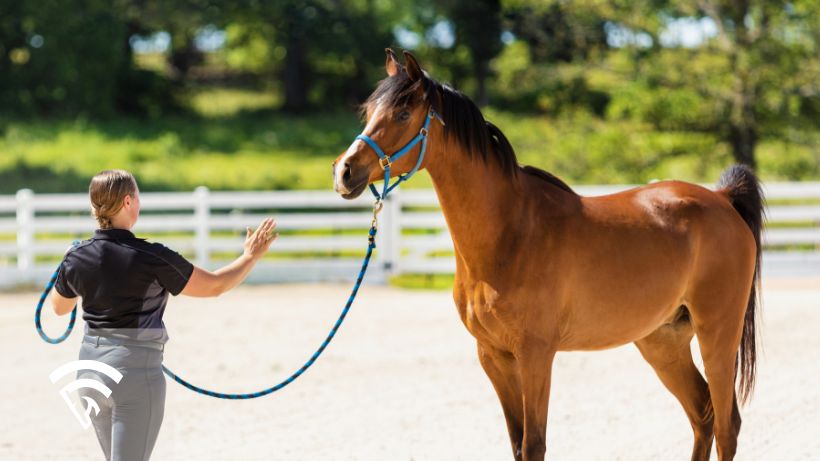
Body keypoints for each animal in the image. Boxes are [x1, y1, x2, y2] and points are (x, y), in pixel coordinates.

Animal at [332, 49, 764, 461]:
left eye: (403, 113)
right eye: (369, 112)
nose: (344, 171)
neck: (509, 234)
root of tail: (722, 200)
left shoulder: (535, 355)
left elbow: (534, 445)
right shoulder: (493, 356)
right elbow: (517, 443)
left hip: (716, 336)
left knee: (726, 425)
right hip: (663, 342)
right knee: (702, 415)